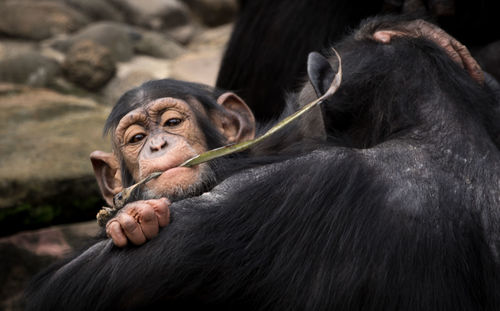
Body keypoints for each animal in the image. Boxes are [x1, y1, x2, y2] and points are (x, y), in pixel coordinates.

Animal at [26, 17, 500, 311]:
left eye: (172, 121)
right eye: (136, 138)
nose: (157, 144)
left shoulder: (272, 188)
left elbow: (66, 290)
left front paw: (132, 221)